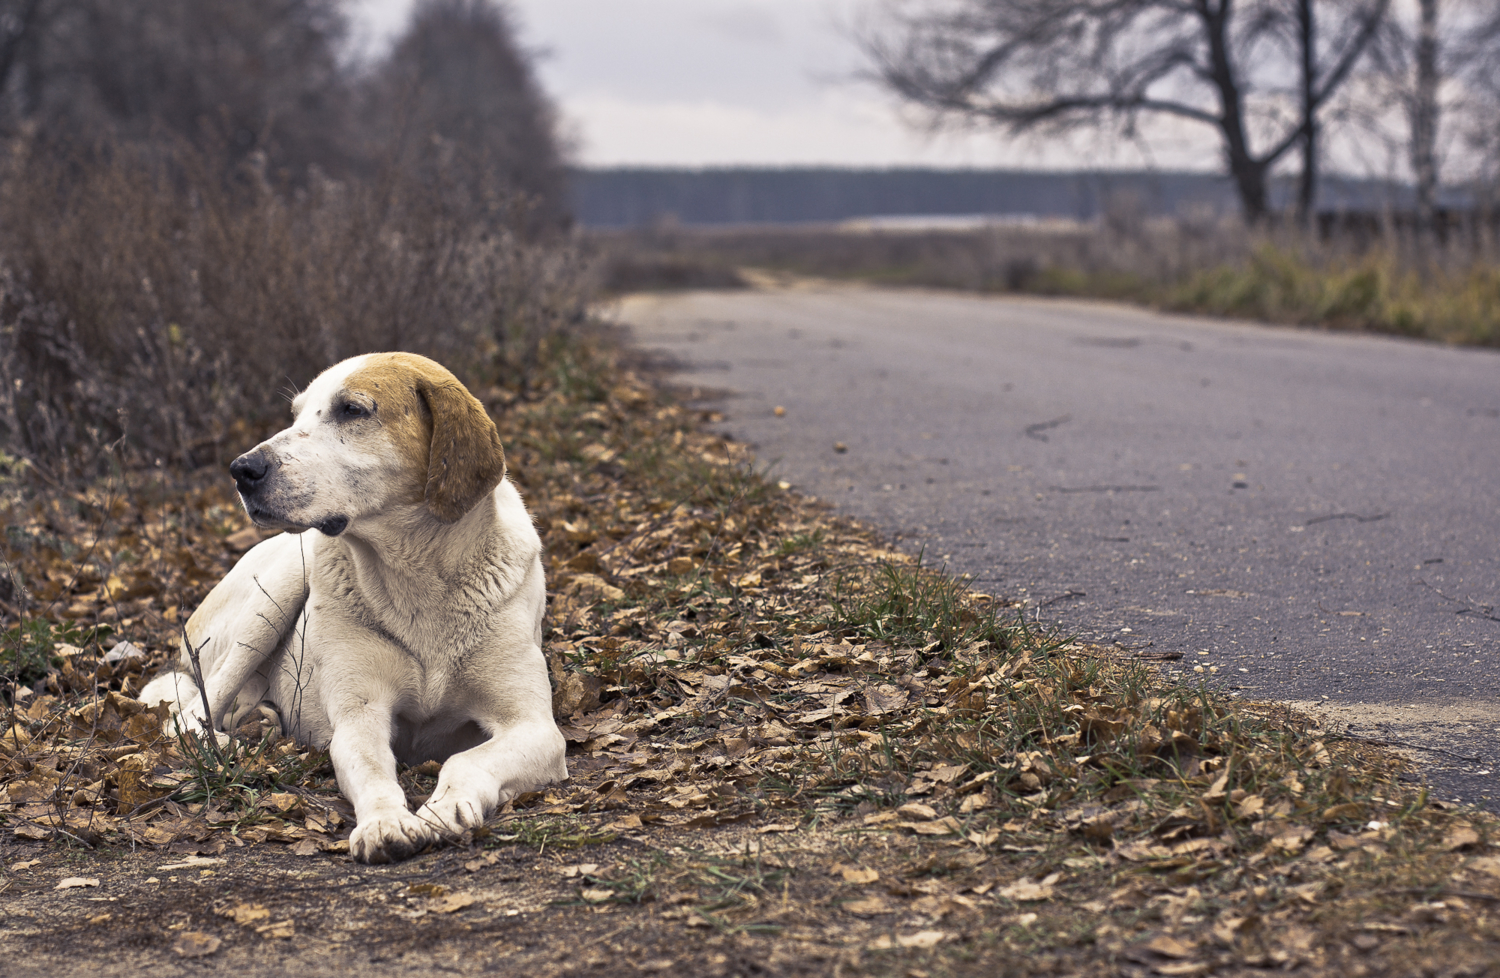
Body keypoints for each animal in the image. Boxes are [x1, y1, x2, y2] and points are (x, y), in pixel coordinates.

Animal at [141, 351, 567, 864]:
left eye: (352, 410)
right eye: (296, 415)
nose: (241, 469)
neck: (415, 582)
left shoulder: (535, 728)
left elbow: (466, 760)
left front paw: (447, 807)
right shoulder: (358, 719)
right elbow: (372, 768)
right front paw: (386, 823)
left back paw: (259, 721)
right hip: (280, 587)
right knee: (189, 716)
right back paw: (231, 739)